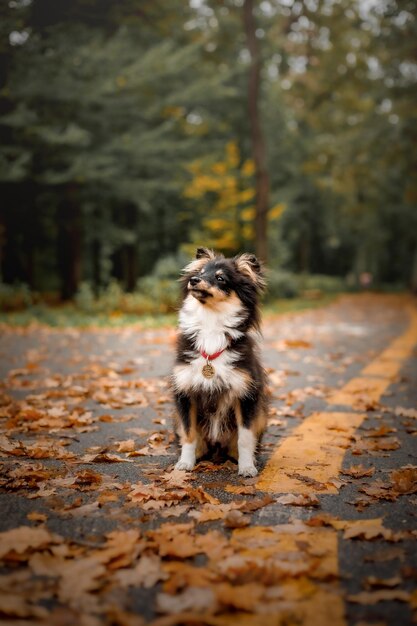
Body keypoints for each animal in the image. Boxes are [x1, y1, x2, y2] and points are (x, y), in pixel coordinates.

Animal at [171, 246, 266, 476]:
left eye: (221, 278)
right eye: (201, 272)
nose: (194, 280)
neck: (211, 325)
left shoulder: (246, 395)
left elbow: (245, 438)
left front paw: (247, 466)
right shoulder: (185, 394)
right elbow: (189, 434)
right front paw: (185, 463)